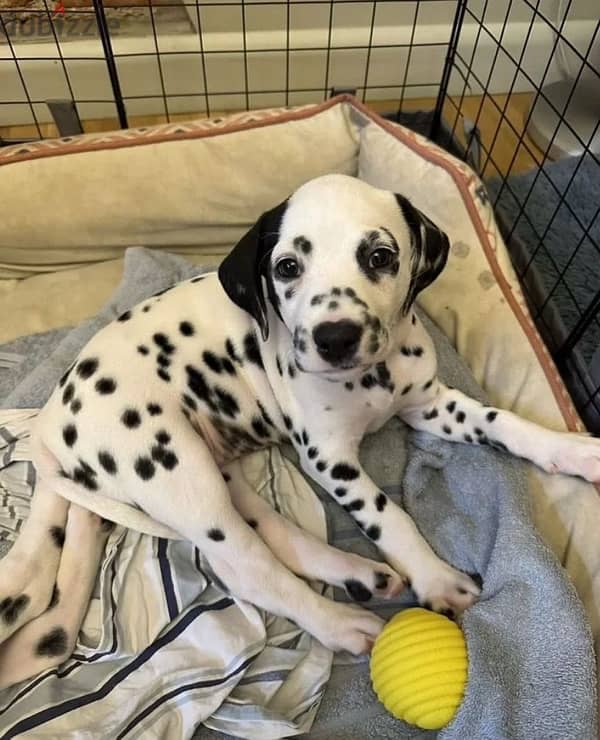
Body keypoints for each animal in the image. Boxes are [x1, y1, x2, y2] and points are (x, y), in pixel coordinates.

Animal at [1, 175, 600, 688]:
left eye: (380, 256)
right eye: (287, 266)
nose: (335, 337)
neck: (374, 377)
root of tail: (52, 418)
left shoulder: (430, 403)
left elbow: (503, 421)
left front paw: (571, 449)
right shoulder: (330, 457)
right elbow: (390, 515)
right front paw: (434, 576)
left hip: (206, 465)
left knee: (265, 529)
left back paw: (358, 574)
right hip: (174, 467)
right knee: (246, 567)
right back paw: (338, 621)